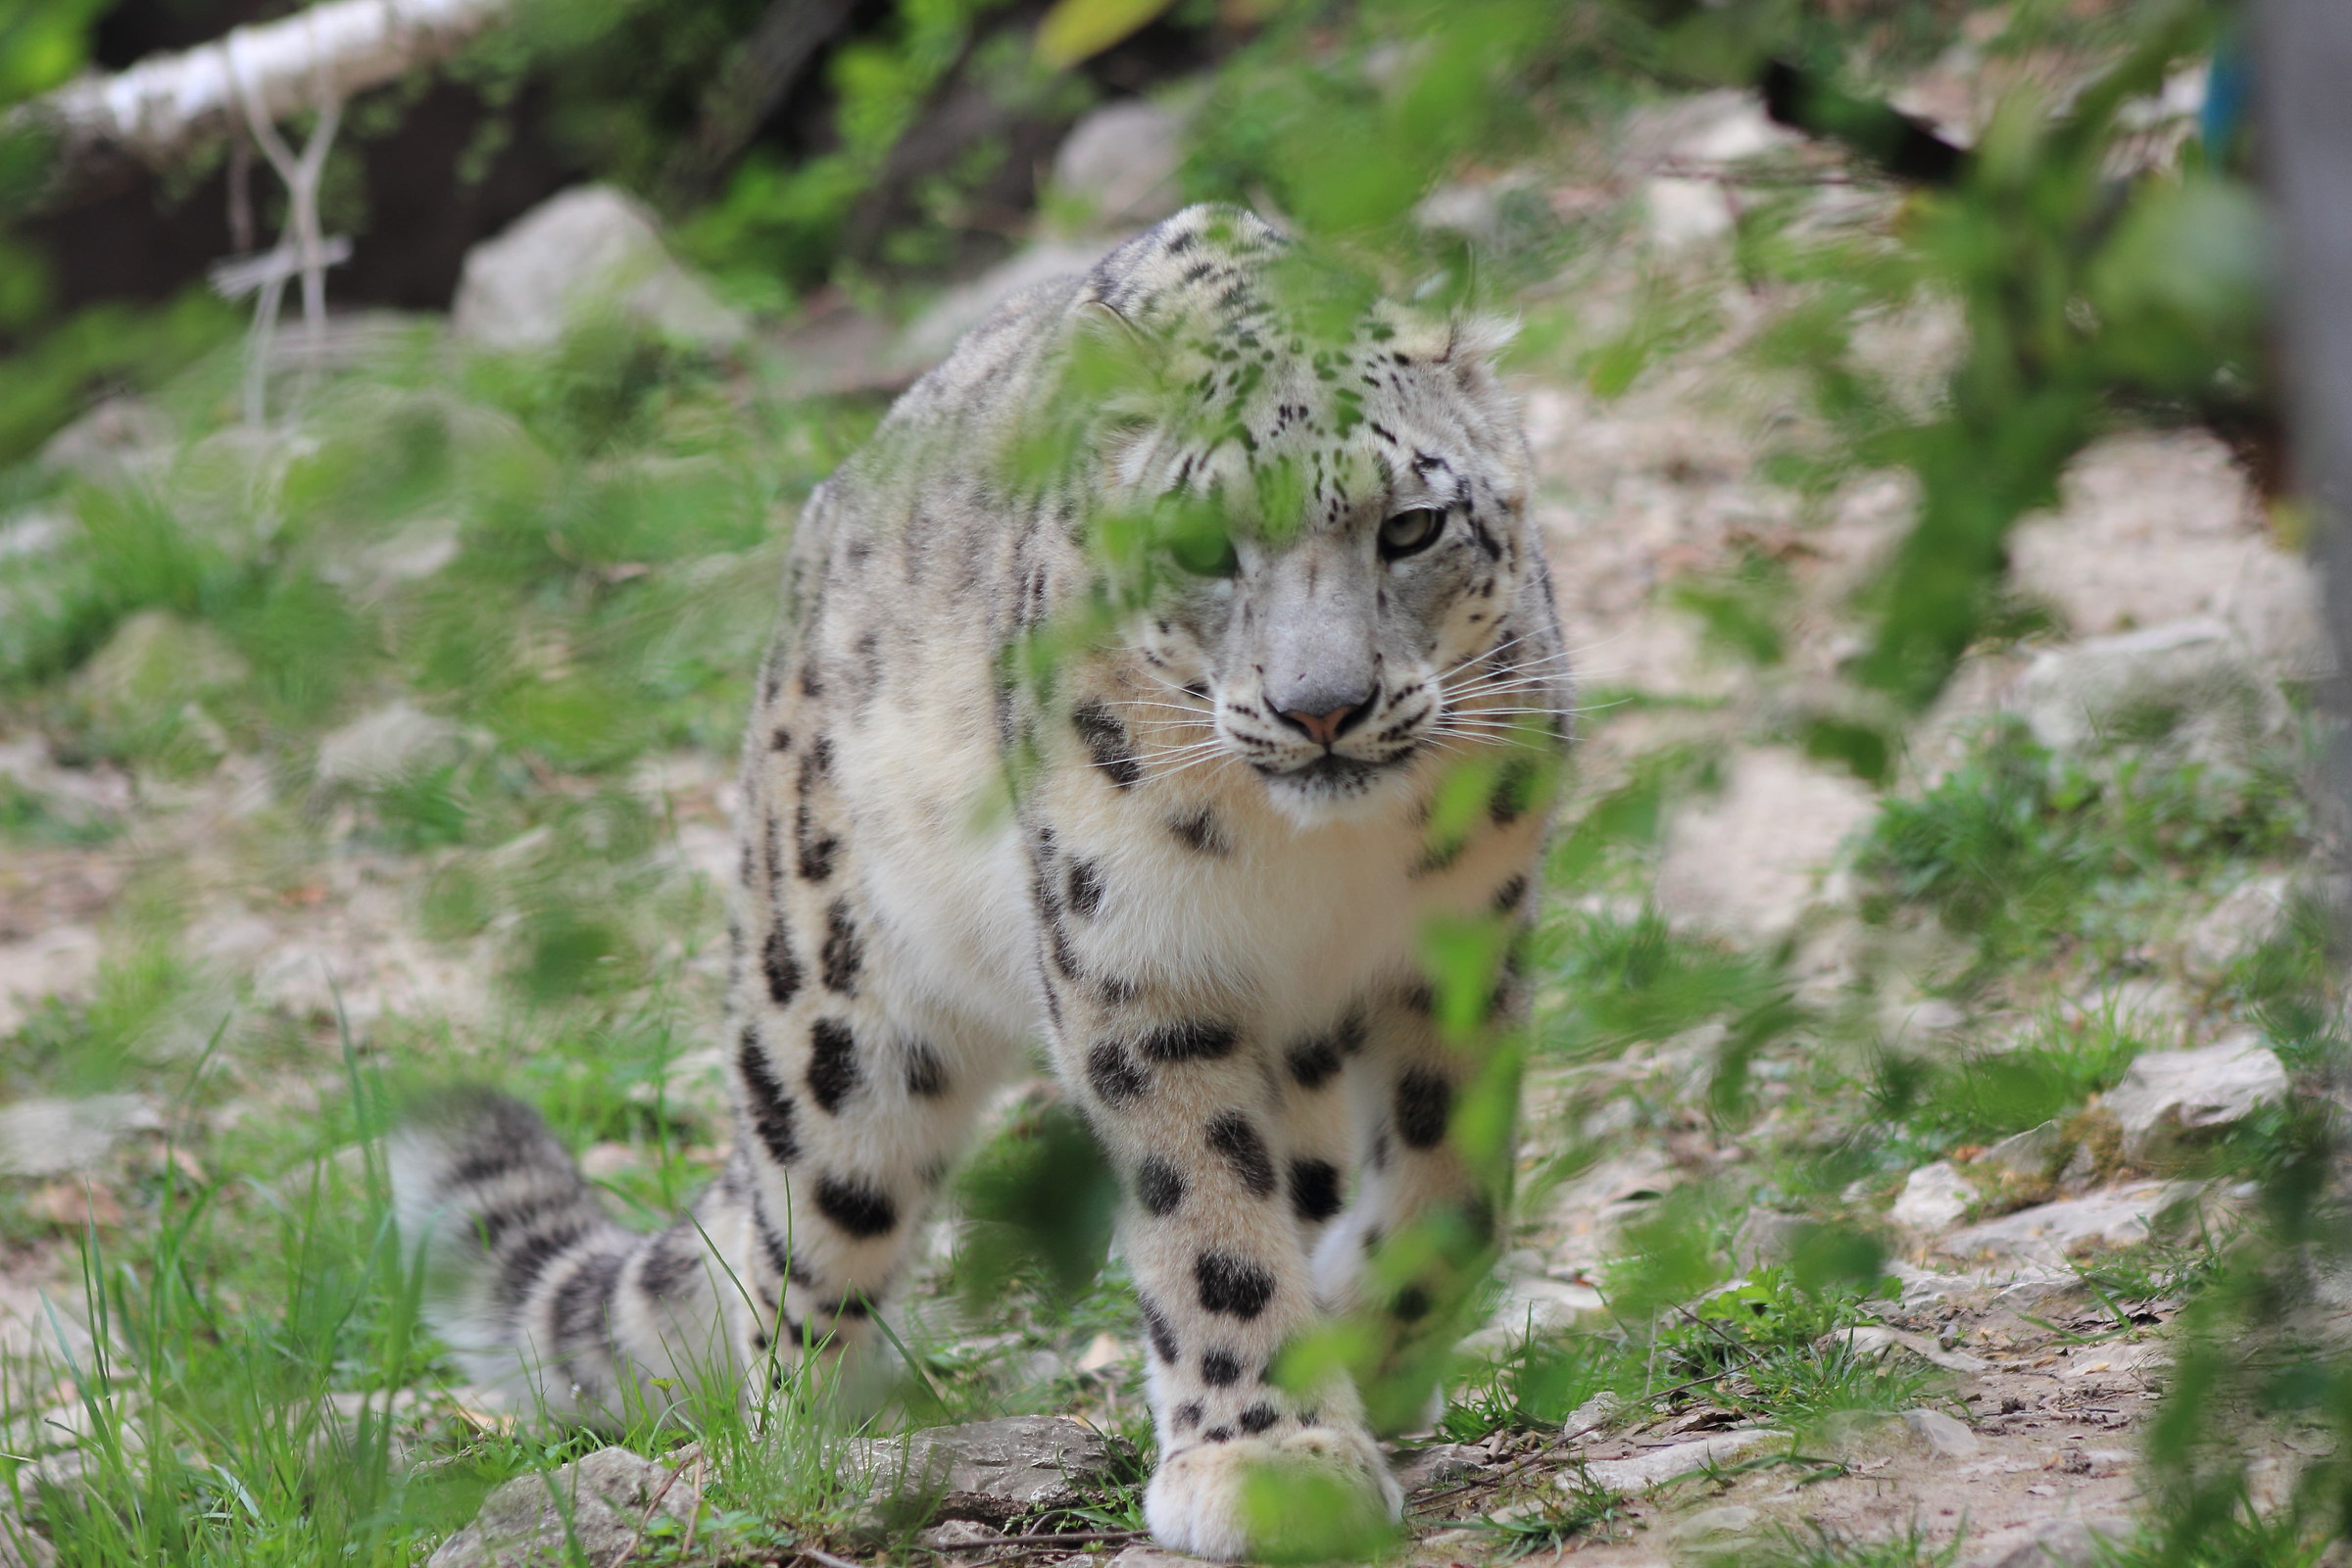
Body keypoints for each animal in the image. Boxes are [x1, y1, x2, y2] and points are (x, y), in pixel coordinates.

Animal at [390, 203, 1572, 1560]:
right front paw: (1268, 1459)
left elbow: (1454, 1195)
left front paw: (1365, 1359)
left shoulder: (1462, 949)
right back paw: (811, 1448)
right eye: (1201, 545)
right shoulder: (1137, 965)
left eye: (1411, 526)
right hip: (835, 1024)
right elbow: (1207, 1215)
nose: (1321, 707)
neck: (1317, 872)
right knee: (794, 1257)